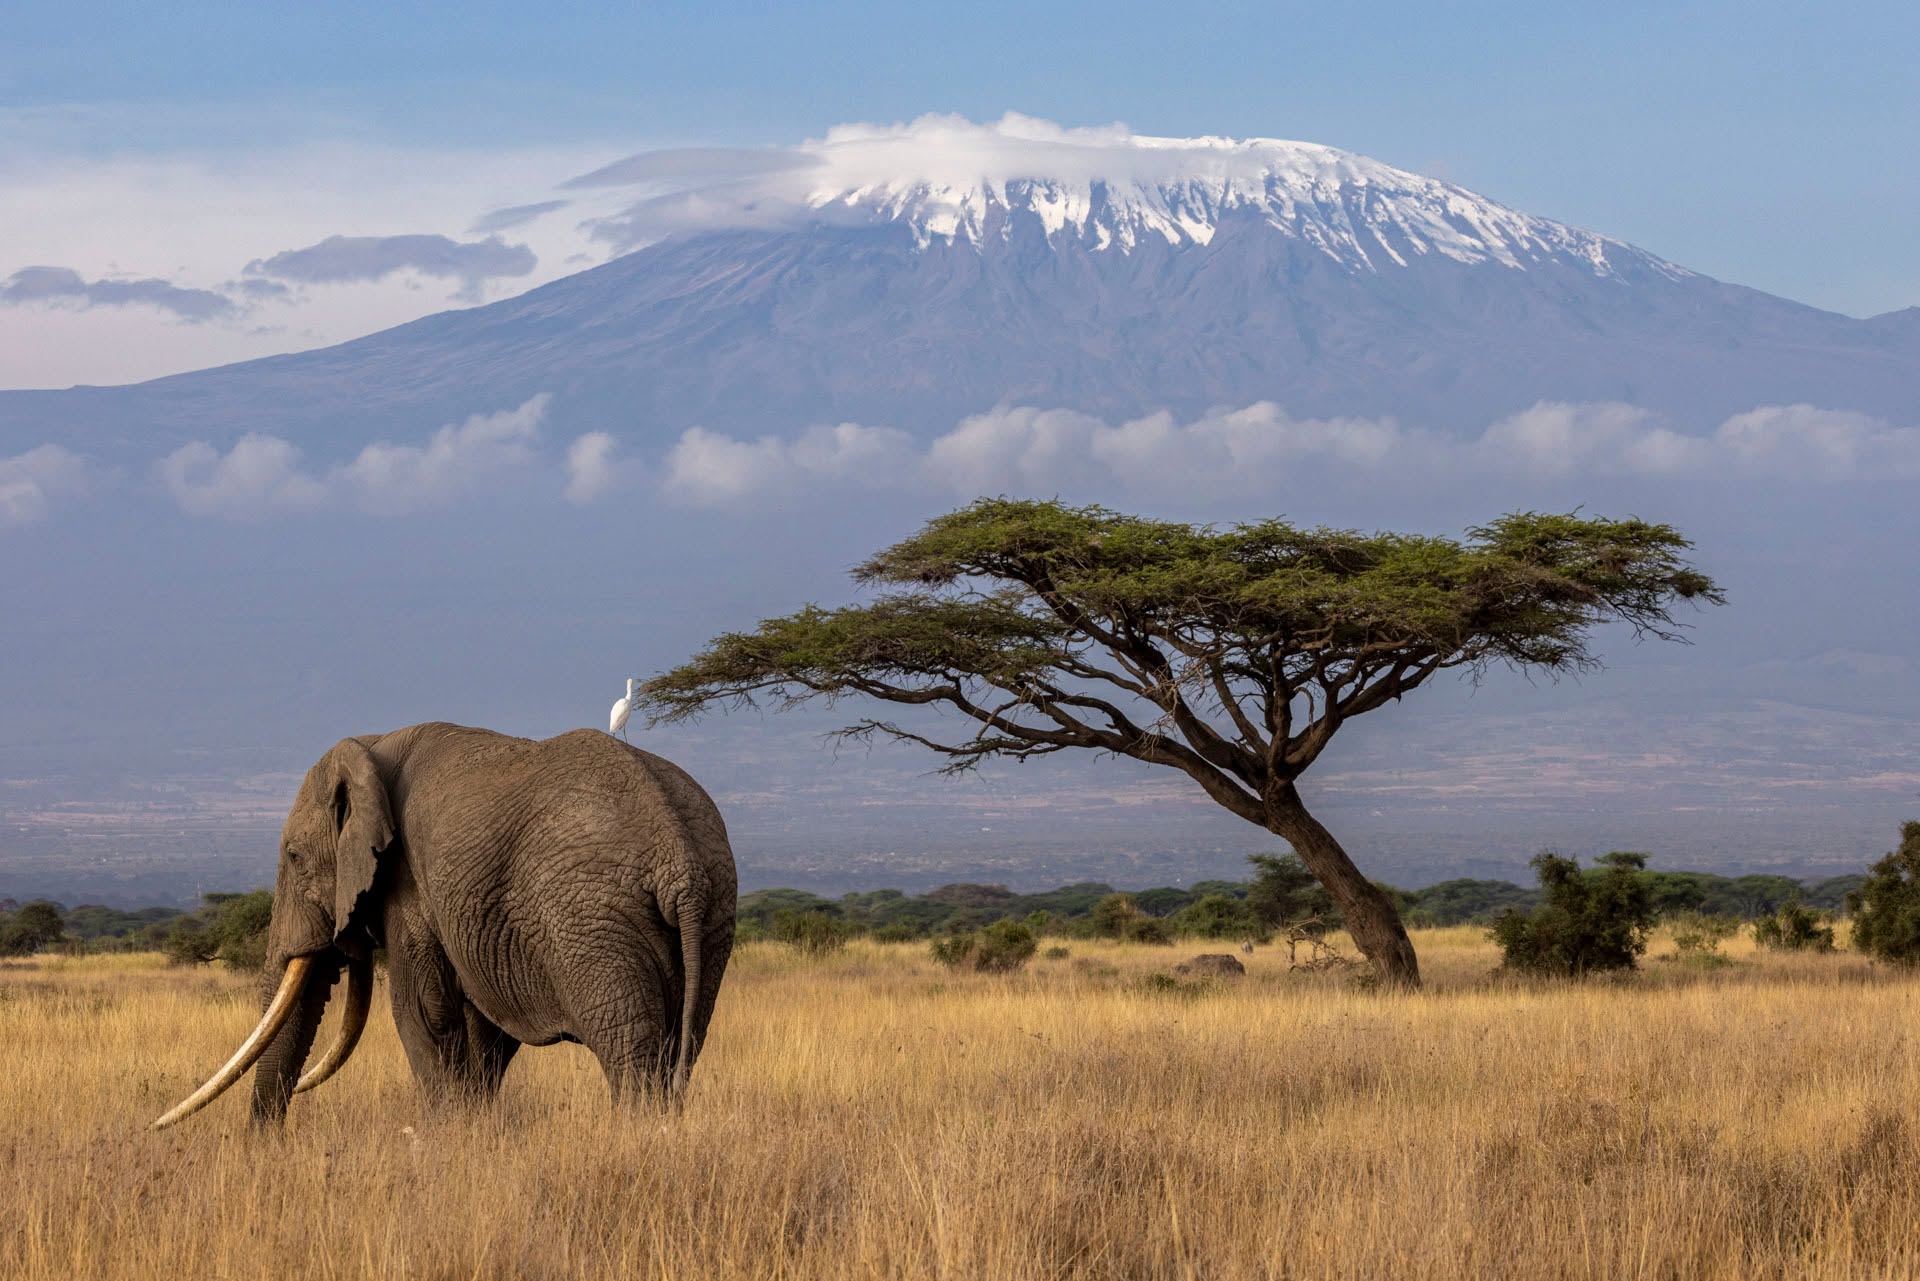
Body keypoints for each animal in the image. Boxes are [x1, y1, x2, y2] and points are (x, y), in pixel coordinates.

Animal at [152, 722, 737, 1129]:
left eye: (294, 858)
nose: (263, 1147)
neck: (371, 745)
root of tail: (678, 856)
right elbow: (482, 1029)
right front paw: (474, 1131)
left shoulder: (410, 882)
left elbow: (423, 1012)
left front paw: (444, 1141)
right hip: (711, 919)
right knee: (681, 1044)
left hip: (592, 924)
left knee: (630, 1050)